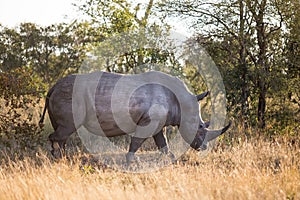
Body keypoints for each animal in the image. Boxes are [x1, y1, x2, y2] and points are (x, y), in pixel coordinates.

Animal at [38, 71, 230, 163]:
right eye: (200, 127)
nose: (204, 147)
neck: (182, 103)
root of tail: (52, 87)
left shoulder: (157, 122)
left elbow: (162, 143)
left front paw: (172, 158)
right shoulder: (149, 121)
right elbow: (138, 141)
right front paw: (130, 161)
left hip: (64, 94)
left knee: (63, 131)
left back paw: (63, 158)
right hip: (70, 96)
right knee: (66, 129)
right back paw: (57, 158)